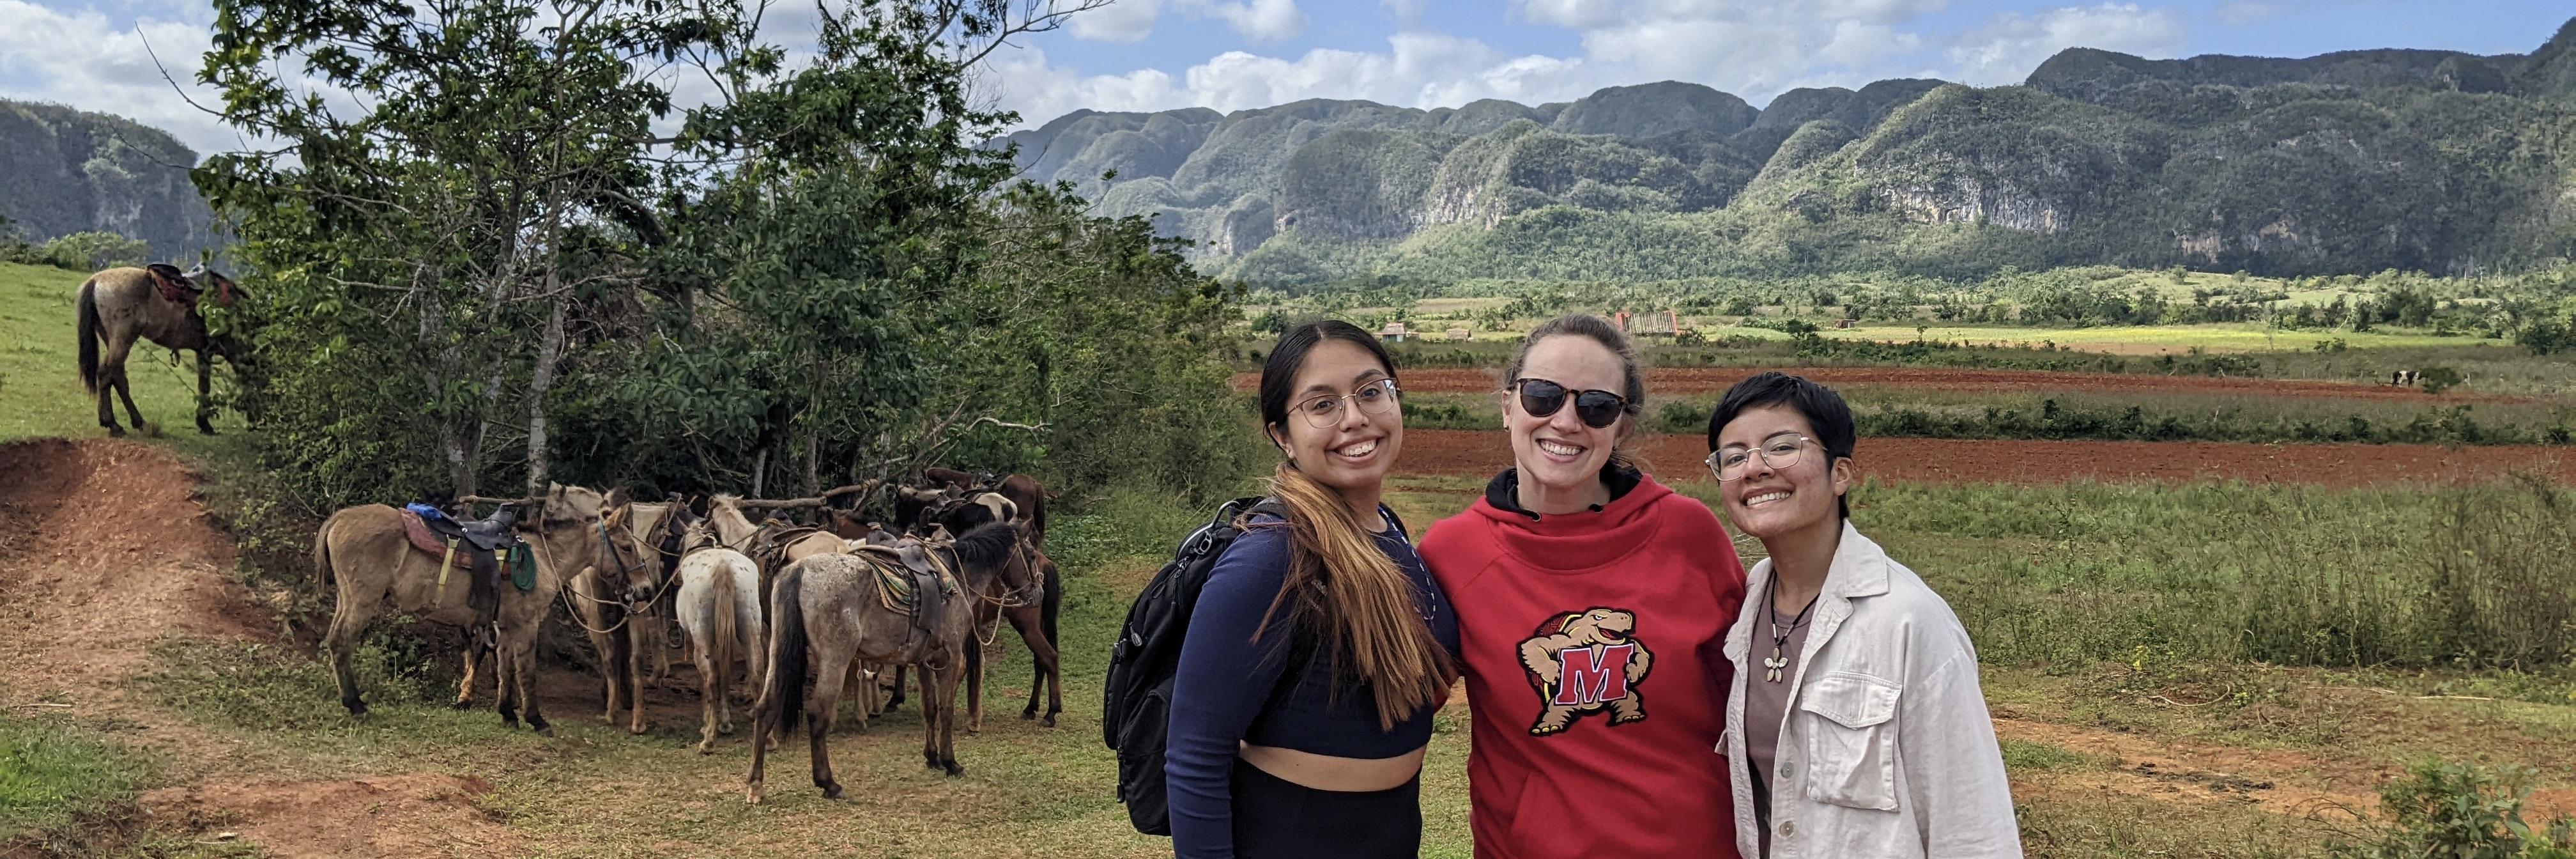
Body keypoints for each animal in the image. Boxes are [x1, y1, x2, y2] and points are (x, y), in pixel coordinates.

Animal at [75, 260, 251, 436]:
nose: (253, 422)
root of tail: (96, 280)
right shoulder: (224, 351)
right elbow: (211, 386)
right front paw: (206, 425)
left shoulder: (203, 352)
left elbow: (203, 386)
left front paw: (203, 423)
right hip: (122, 340)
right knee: (106, 375)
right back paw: (112, 424)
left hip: (113, 341)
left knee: (118, 377)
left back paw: (139, 422)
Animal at [742, 516, 1040, 805]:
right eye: (1031, 554)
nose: (1037, 593)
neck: (955, 573)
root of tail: (800, 571)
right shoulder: (951, 656)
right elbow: (946, 710)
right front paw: (950, 762)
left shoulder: (924, 661)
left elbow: (929, 708)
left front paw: (931, 757)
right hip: (834, 661)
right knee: (818, 715)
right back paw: (829, 784)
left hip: (778, 652)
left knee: (765, 708)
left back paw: (756, 785)